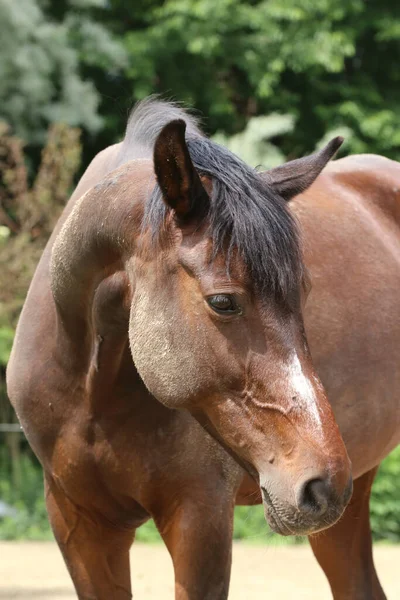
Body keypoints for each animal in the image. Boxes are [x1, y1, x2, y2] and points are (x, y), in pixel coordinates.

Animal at [5, 99, 396, 600]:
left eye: (303, 295)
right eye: (223, 302)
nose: (323, 484)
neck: (91, 394)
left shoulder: (201, 518)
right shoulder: (78, 523)